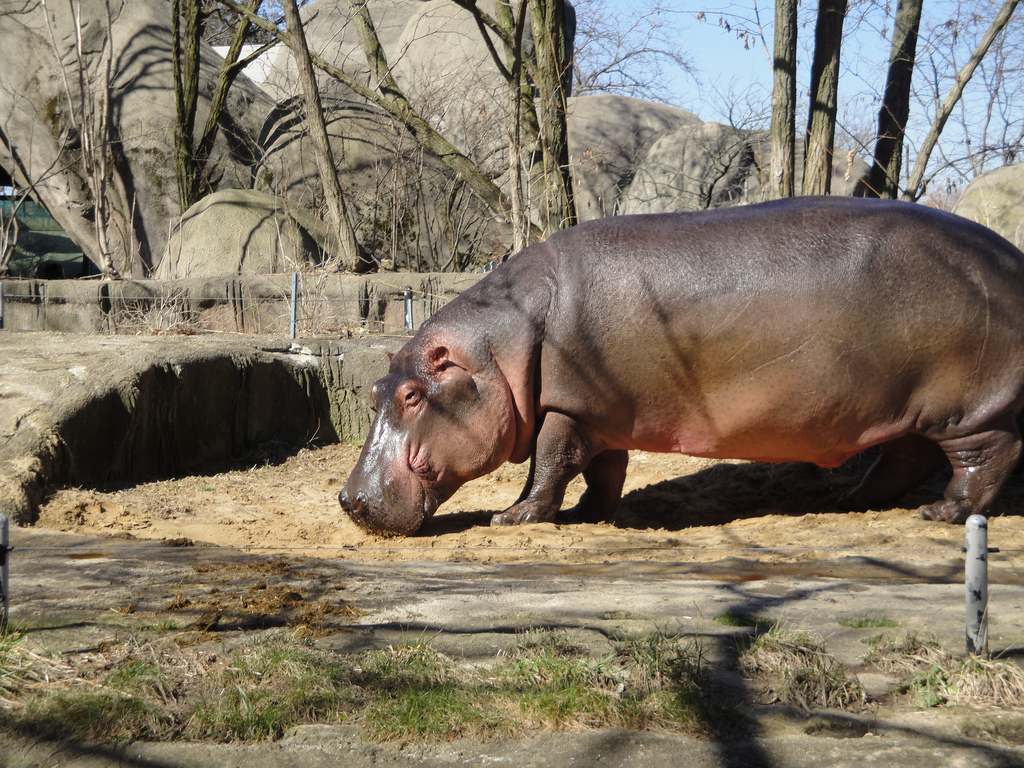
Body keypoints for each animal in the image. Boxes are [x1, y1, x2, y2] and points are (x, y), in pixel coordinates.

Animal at [339, 196, 1024, 536]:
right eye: (374, 389)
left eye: (412, 396)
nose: (347, 501)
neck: (498, 350)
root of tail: (1013, 257)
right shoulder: (600, 409)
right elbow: (601, 470)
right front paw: (591, 516)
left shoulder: (567, 404)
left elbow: (550, 463)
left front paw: (511, 519)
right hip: (905, 409)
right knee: (905, 458)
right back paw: (848, 500)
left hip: (963, 406)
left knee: (986, 455)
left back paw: (941, 515)